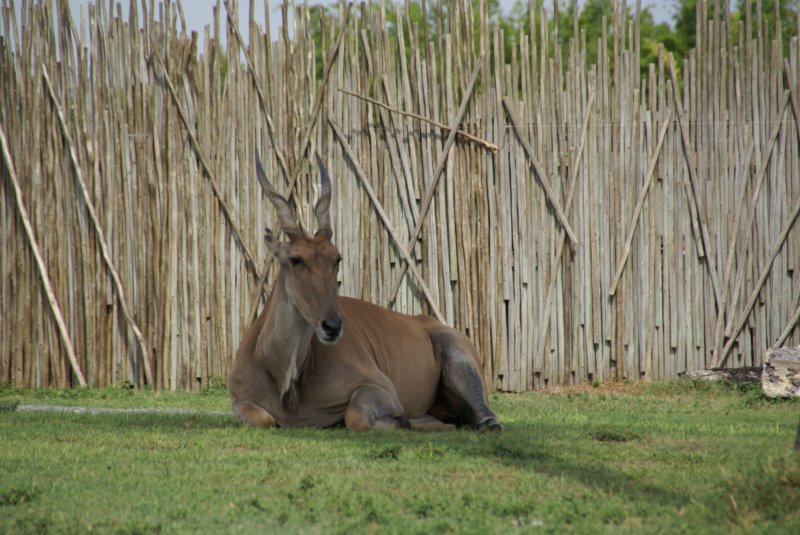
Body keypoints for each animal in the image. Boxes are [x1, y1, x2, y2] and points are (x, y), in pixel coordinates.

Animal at [227, 154, 500, 432]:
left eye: (336, 258)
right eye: (295, 259)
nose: (332, 326)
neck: (285, 379)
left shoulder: (380, 387)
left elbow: (356, 415)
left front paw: (400, 420)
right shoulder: (240, 400)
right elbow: (263, 418)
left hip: (458, 356)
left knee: (488, 418)